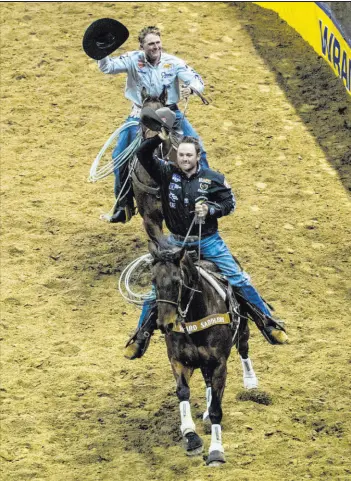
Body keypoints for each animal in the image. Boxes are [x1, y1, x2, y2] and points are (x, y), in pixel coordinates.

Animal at [148, 242, 258, 466]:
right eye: (153, 280)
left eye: (177, 281)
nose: (164, 324)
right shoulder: (179, 361)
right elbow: (183, 393)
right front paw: (191, 437)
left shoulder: (219, 365)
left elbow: (217, 409)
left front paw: (216, 452)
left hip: (242, 332)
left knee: (243, 350)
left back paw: (250, 381)